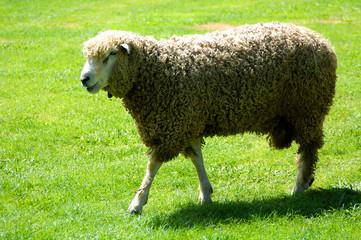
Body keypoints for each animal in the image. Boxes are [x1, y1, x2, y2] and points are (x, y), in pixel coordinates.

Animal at [80, 22, 336, 214]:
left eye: (111, 54)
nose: (84, 79)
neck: (158, 70)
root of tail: (321, 40)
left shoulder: (173, 125)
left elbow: (152, 166)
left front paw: (137, 204)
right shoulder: (189, 119)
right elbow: (196, 158)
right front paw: (206, 194)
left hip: (307, 109)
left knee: (308, 149)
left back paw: (299, 186)